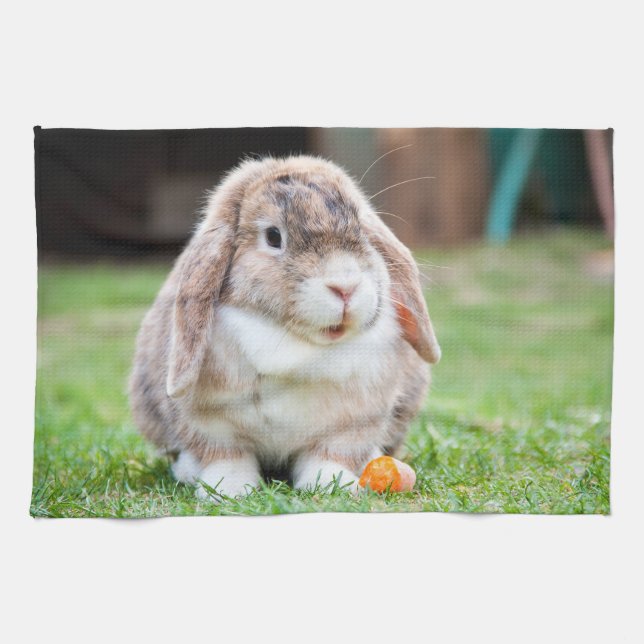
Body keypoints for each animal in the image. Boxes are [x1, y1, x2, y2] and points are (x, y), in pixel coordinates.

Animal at [129, 155, 440, 500]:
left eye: (361, 228)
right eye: (273, 237)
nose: (345, 287)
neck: (296, 343)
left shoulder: (351, 426)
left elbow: (329, 456)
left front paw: (330, 485)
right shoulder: (211, 425)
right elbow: (227, 457)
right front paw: (229, 490)